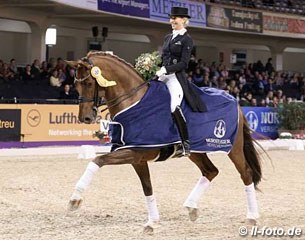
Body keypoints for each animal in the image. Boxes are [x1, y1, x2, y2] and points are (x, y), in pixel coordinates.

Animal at [66, 51, 262, 232]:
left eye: (89, 83)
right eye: (75, 84)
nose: (85, 118)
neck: (134, 101)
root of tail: (234, 99)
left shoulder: (134, 152)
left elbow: (97, 160)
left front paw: (75, 199)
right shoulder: (137, 157)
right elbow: (147, 187)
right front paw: (152, 222)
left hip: (233, 148)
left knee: (246, 174)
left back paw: (252, 217)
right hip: (196, 152)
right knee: (211, 171)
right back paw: (191, 208)